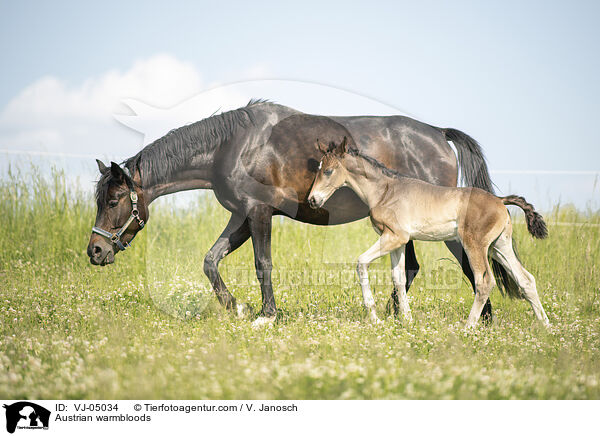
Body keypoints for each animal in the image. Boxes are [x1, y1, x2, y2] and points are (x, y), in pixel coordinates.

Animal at [88, 100, 502, 326]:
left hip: (448, 231)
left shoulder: (257, 213)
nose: (95, 251)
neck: (232, 145)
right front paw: (235, 307)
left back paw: (484, 321)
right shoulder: (241, 217)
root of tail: (437, 132)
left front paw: (266, 314)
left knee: (473, 268)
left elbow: (263, 264)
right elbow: (210, 260)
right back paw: (395, 315)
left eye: (114, 200)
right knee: (411, 269)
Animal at [310, 137, 548, 328]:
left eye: (328, 171)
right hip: (499, 246)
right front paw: (407, 319)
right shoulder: (397, 241)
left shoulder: (394, 237)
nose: (312, 200)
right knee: (526, 279)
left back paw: (468, 327)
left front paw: (374, 317)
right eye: (318, 168)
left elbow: (361, 262)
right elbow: (398, 278)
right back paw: (546, 326)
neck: (385, 191)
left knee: (485, 282)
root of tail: (500, 200)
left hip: (475, 245)